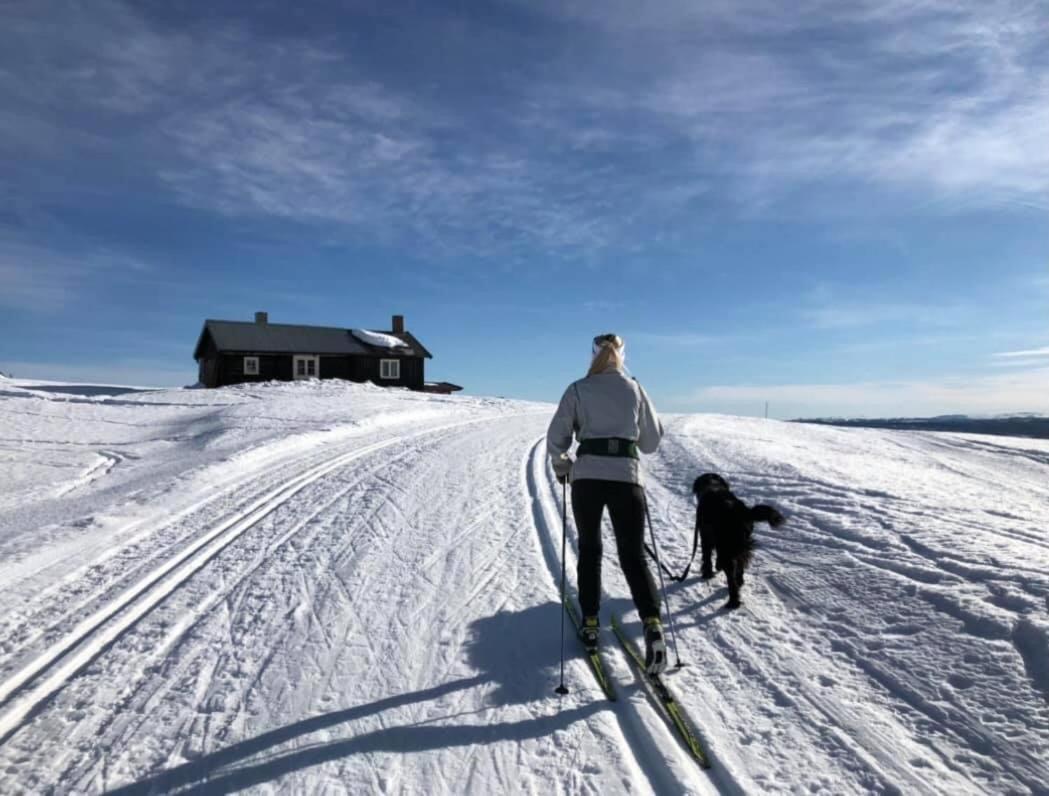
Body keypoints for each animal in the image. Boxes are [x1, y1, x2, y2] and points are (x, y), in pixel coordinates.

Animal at [692, 474, 784, 608]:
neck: (713, 485)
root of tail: (743, 513)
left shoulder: (706, 537)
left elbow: (707, 557)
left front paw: (707, 573)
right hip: (740, 546)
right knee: (740, 566)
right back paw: (739, 581)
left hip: (727, 547)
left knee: (731, 578)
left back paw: (733, 602)